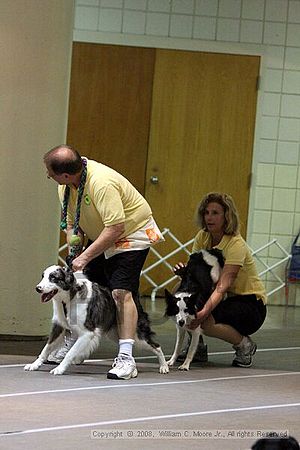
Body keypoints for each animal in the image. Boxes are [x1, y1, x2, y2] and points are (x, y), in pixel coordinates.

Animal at [24, 266, 169, 374]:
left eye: (53, 278)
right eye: (43, 276)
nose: (38, 288)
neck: (69, 298)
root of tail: (135, 297)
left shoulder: (87, 333)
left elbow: (70, 352)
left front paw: (59, 369)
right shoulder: (59, 327)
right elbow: (46, 348)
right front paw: (34, 365)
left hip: (138, 336)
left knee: (157, 346)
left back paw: (164, 366)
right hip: (114, 333)